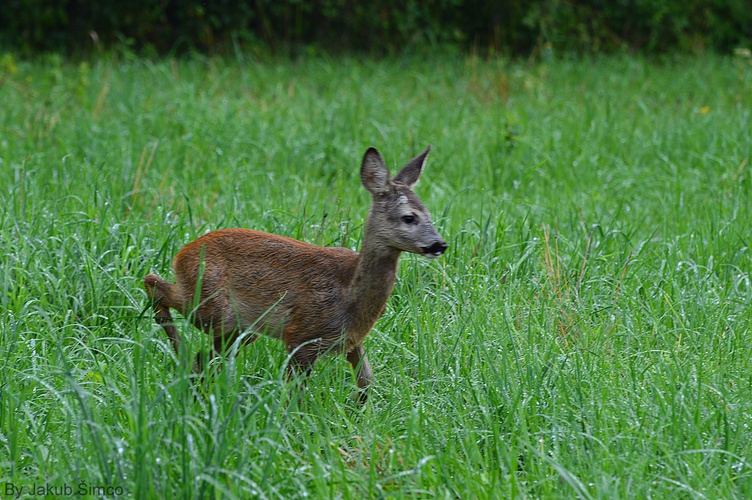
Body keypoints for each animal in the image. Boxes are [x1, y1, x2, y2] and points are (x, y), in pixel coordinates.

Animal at [144, 145, 446, 398]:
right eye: (409, 217)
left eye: (429, 214)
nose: (440, 244)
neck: (350, 292)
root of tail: (182, 253)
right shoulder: (301, 335)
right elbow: (294, 392)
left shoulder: (350, 340)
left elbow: (366, 382)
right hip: (213, 307)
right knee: (154, 283)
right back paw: (179, 352)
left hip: (240, 328)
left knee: (205, 357)